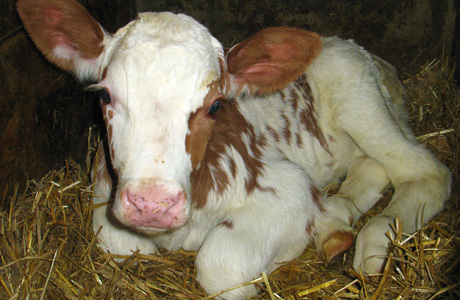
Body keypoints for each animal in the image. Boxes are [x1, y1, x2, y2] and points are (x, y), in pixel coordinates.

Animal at [18, 1, 450, 298]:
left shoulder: (288, 185)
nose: (152, 204)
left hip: (362, 103)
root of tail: (357, 48)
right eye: (106, 95)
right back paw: (335, 224)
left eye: (215, 106)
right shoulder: (104, 198)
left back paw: (371, 243)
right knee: (371, 168)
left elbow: (219, 265)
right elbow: (120, 245)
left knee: (426, 172)